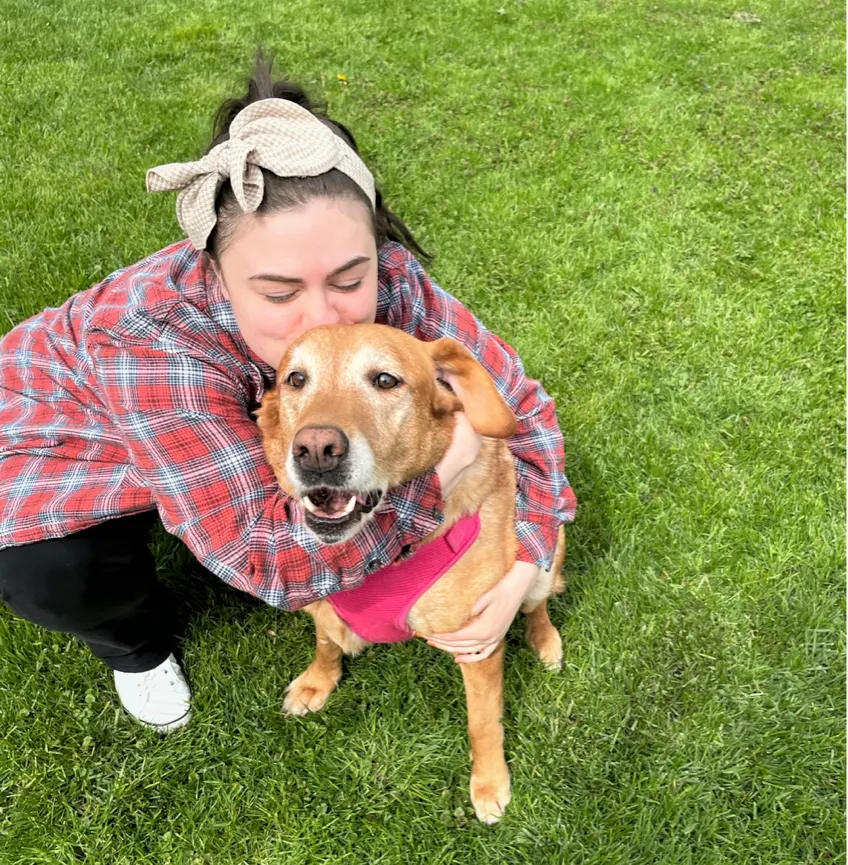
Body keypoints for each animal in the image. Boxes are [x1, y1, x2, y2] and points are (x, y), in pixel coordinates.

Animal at [255, 320, 568, 820]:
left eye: (386, 380)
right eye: (296, 379)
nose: (316, 449)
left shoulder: (477, 644)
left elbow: (483, 723)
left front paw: (489, 782)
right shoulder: (314, 593)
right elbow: (326, 642)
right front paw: (318, 681)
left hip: (546, 556)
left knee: (536, 604)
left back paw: (545, 641)